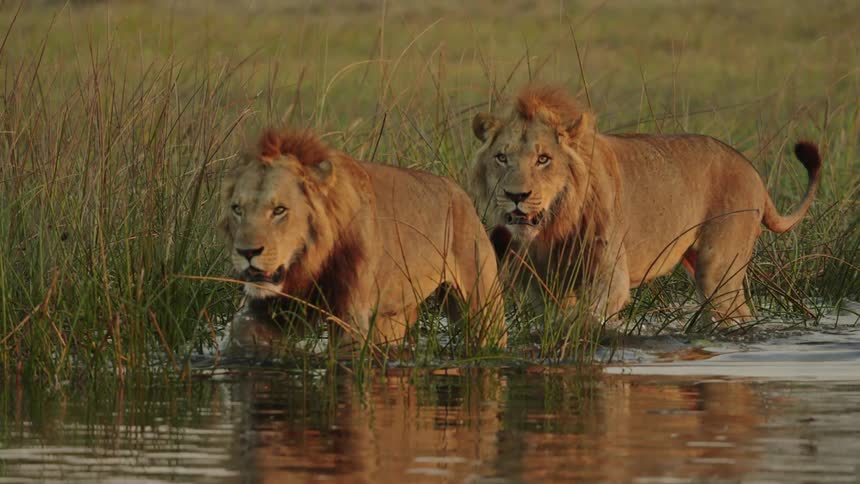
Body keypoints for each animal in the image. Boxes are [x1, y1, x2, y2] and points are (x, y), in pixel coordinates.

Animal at [219, 128, 506, 351]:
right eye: (237, 209)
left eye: (279, 210)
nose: (246, 252)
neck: (308, 261)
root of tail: (461, 194)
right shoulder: (267, 308)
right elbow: (242, 332)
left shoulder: (350, 314)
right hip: (391, 317)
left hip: (483, 307)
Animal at [468, 84, 821, 328]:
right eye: (501, 158)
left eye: (543, 159)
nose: (516, 195)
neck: (555, 223)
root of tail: (753, 172)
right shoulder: (540, 285)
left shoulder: (611, 279)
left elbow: (581, 320)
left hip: (720, 270)